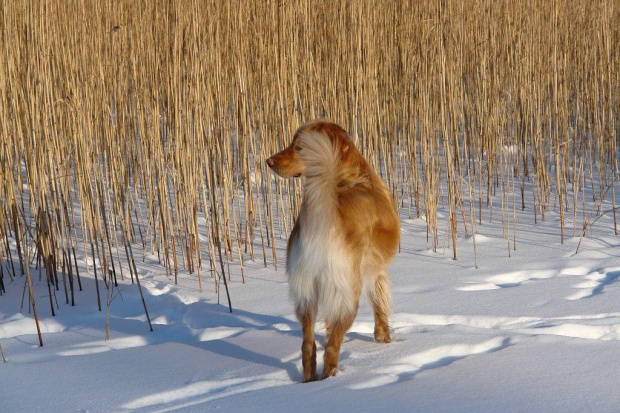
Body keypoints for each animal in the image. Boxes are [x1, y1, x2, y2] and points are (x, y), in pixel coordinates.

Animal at [266, 118, 400, 380]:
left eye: (297, 146)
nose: (269, 161)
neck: (352, 178)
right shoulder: (378, 272)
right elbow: (380, 307)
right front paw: (384, 340)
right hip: (348, 292)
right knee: (331, 348)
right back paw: (331, 378)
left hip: (306, 293)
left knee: (308, 345)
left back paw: (309, 380)